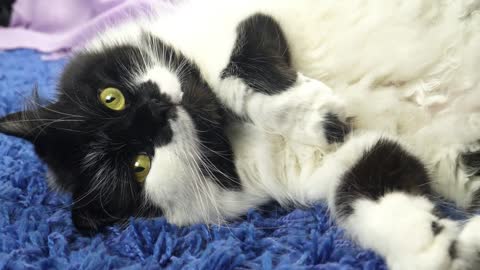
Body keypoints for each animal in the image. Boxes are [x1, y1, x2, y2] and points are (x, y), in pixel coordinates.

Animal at [0, 0, 480, 268]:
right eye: (140, 166)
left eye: (111, 98)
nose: (157, 110)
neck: (226, 128)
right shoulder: (347, 159)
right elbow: (365, 190)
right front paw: (432, 248)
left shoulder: (250, 18)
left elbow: (231, 71)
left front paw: (318, 116)